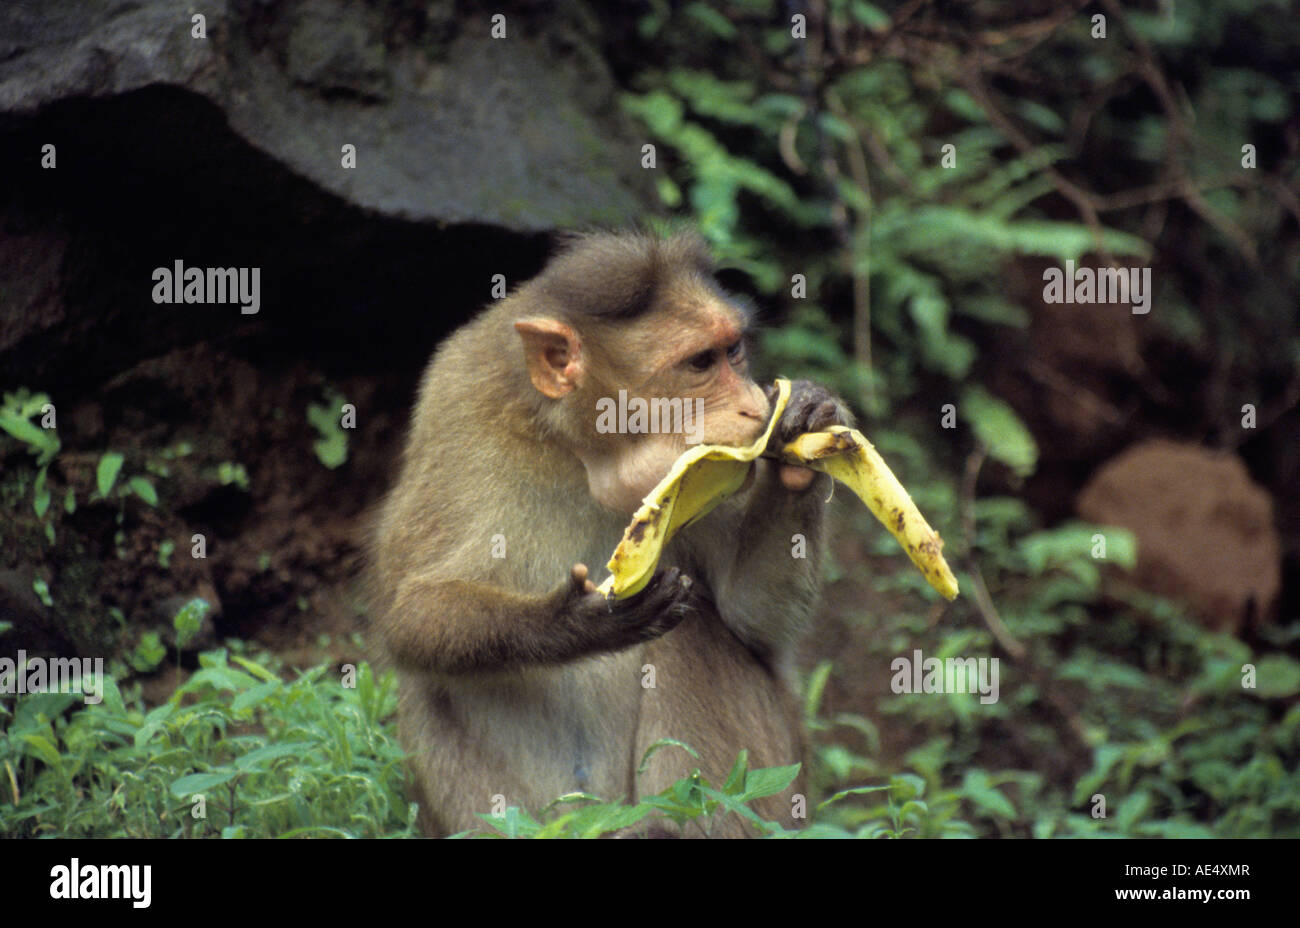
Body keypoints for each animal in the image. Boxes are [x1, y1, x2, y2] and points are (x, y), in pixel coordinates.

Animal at [368, 230, 851, 837]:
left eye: (734, 350)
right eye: (700, 362)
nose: (753, 407)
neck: (587, 455)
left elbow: (752, 621)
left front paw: (808, 421)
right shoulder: (460, 412)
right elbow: (411, 611)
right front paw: (571, 623)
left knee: (696, 633)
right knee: (429, 690)